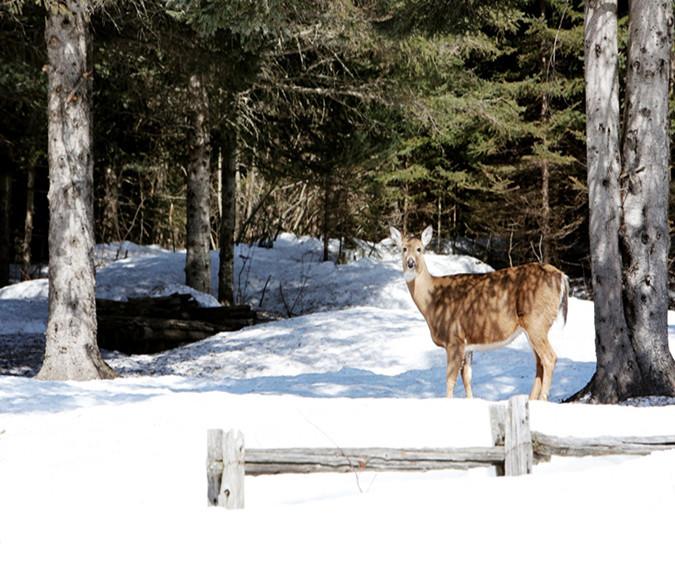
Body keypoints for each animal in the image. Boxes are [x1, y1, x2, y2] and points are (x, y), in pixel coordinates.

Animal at [390, 226, 568, 401]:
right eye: (403, 248)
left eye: (420, 249)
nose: (410, 263)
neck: (432, 301)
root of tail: (562, 276)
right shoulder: (467, 344)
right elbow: (467, 378)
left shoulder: (454, 338)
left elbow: (450, 380)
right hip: (531, 327)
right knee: (539, 363)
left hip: (537, 321)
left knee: (549, 358)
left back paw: (543, 399)